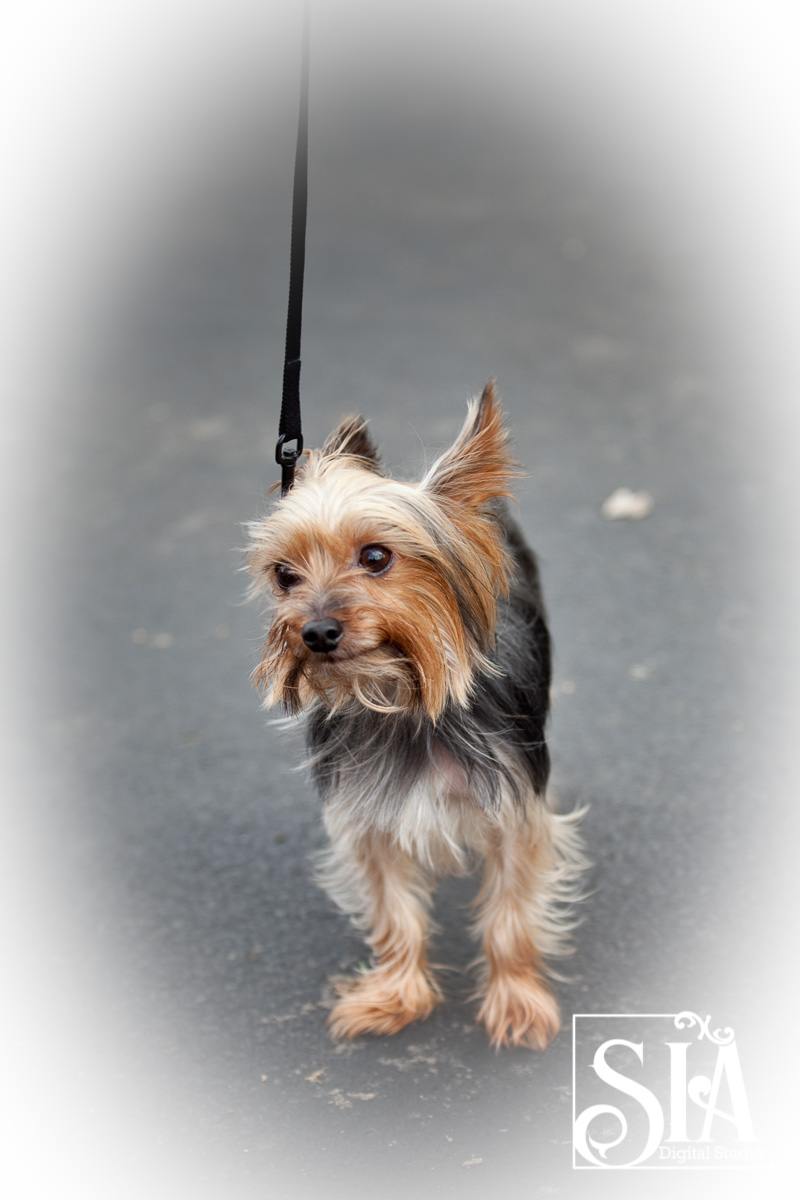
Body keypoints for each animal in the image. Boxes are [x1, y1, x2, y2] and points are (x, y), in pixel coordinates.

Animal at [247, 384, 585, 1051]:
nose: (315, 631)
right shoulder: (368, 819)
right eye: (284, 574)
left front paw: (517, 1002)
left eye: (377, 556)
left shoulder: (515, 809)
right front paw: (394, 997)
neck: (400, 701)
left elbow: (510, 916)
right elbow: (394, 915)